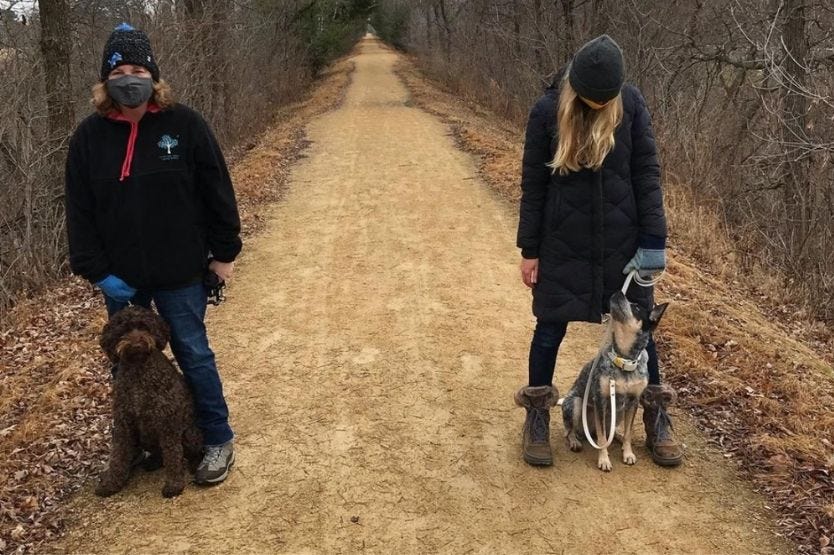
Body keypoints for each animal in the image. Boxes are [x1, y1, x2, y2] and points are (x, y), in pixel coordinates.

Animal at [94, 306, 203, 498]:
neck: (139, 370)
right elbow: (118, 456)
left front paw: (174, 485)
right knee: (160, 454)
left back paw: (195, 464)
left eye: (144, 326)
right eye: (124, 330)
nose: (137, 345)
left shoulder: (168, 424)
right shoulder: (123, 425)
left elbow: (173, 456)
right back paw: (153, 461)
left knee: (190, 453)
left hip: (190, 433)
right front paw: (110, 484)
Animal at [560, 292, 668, 474]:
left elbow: (628, 432)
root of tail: (588, 431)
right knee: (570, 430)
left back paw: (617, 436)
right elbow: (603, 438)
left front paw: (628, 453)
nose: (619, 292)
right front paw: (604, 460)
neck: (624, 360)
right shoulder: (601, 401)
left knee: (611, 430)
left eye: (636, 307)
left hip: (618, 413)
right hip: (575, 403)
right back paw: (575, 441)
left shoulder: (633, 401)